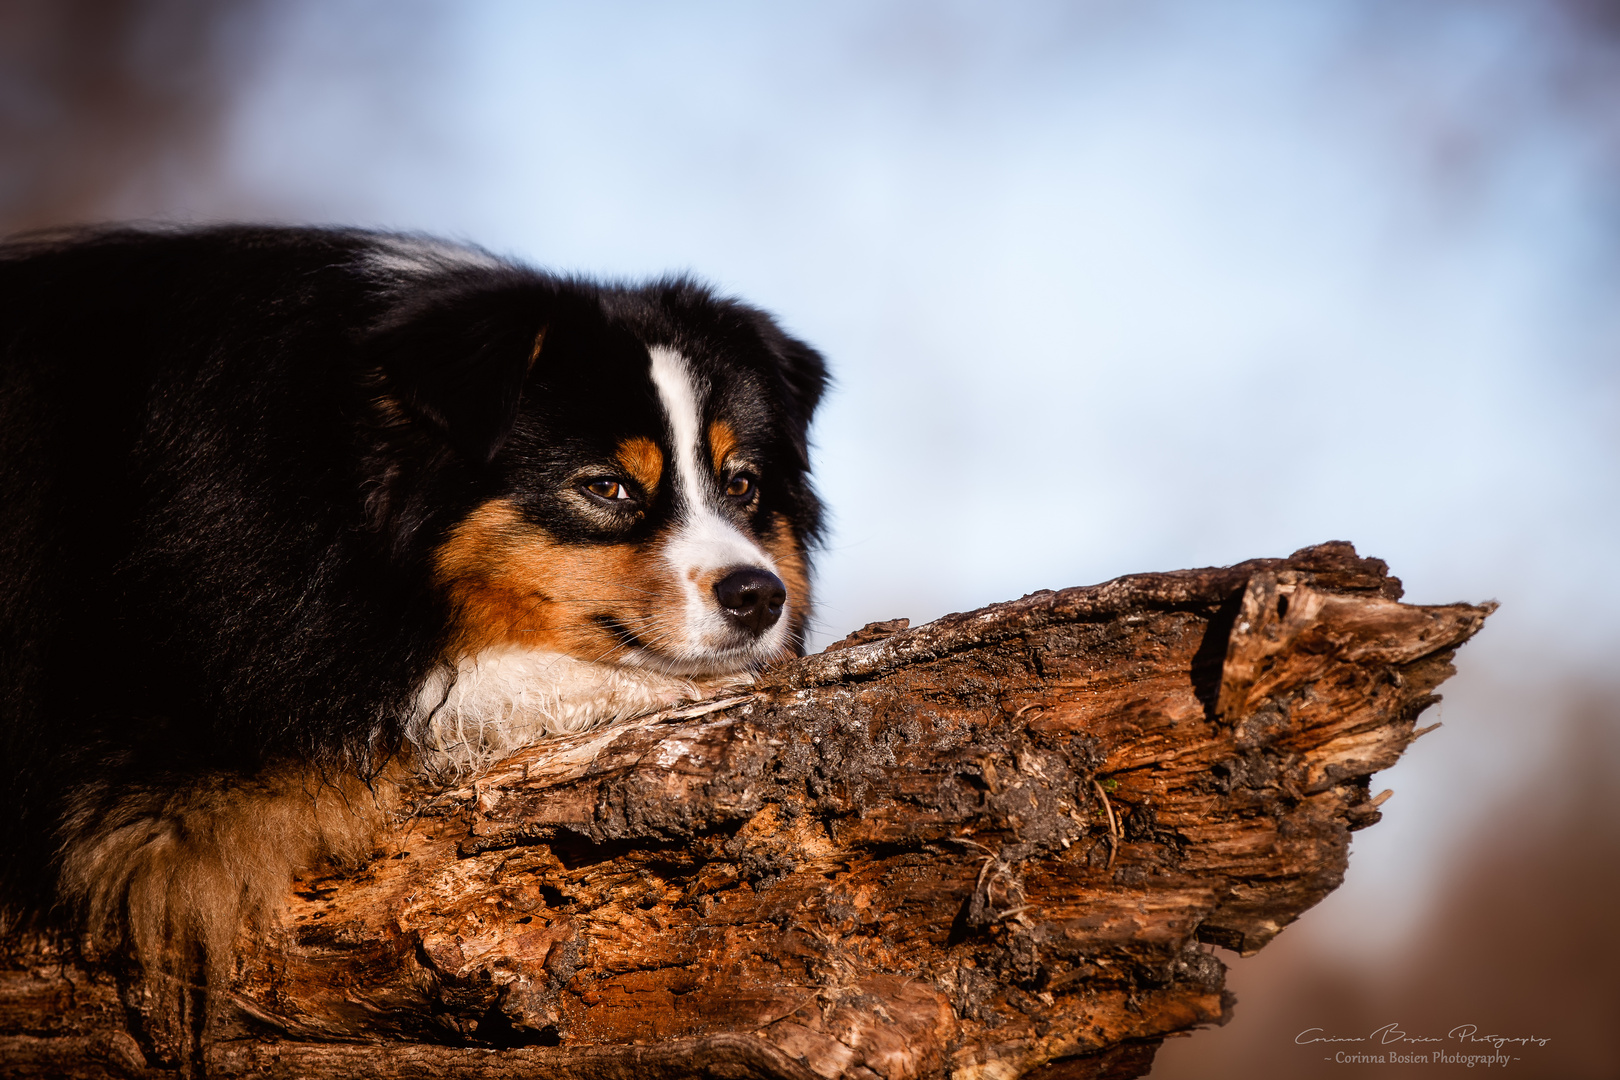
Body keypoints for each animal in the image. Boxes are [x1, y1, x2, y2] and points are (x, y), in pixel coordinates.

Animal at [0, 226, 829, 1062]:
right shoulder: (175, 736)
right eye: (607, 486)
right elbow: (455, 690)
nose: (760, 598)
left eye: (743, 483)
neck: (340, 473)